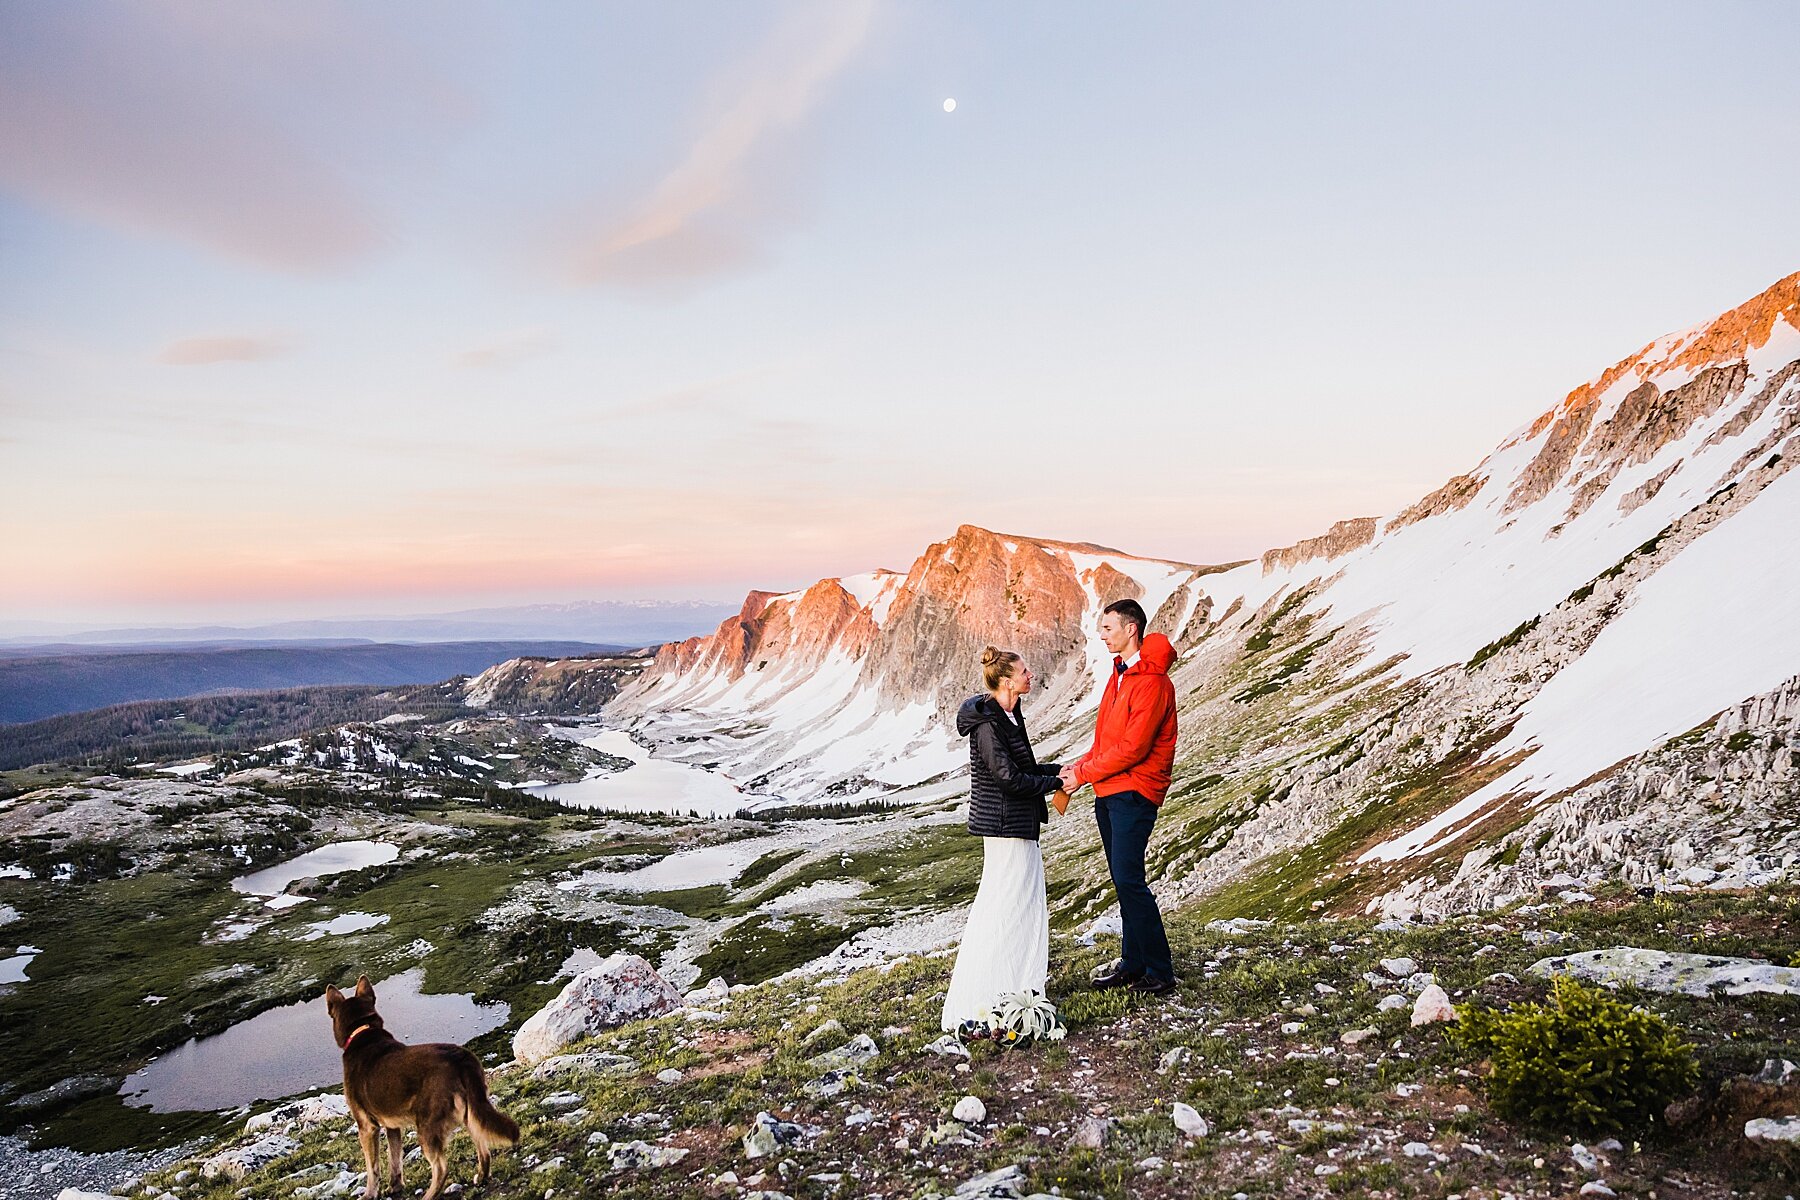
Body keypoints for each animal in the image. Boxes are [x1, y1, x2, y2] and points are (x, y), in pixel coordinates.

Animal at [324, 978, 518, 1200]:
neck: (362, 1031)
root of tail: (460, 1058)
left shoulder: (367, 1127)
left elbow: (373, 1168)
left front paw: (370, 1194)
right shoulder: (392, 1126)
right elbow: (395, 1158)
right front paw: (395, 1186)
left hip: (427, 1126)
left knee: (441, 1168)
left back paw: (429, 1195)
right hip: (471, 1112)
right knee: (483, 1149)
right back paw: (482, 1177)